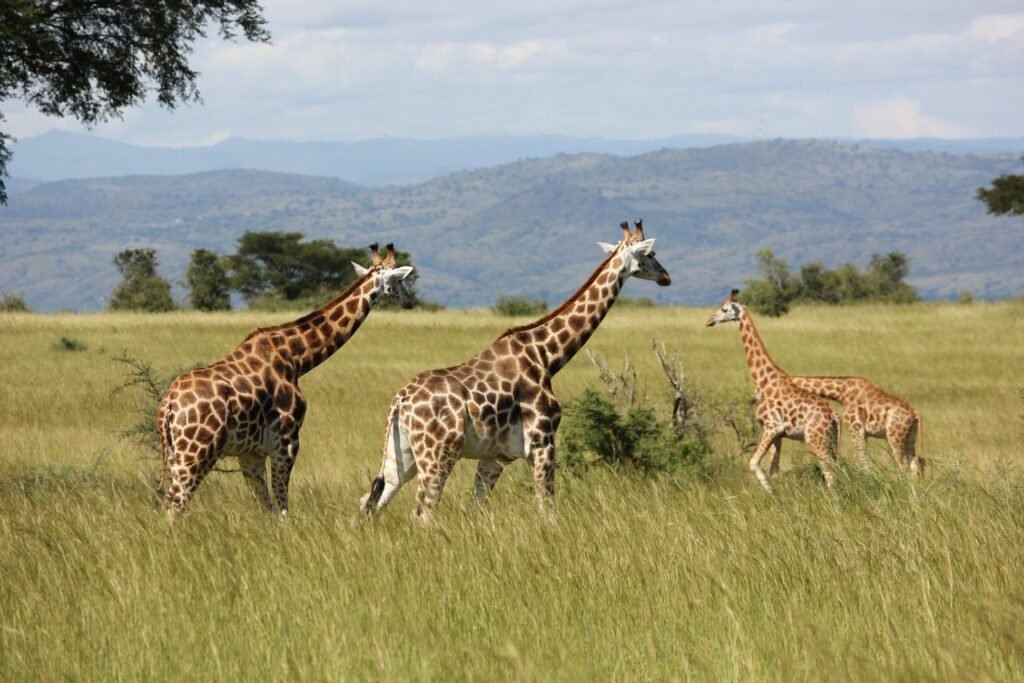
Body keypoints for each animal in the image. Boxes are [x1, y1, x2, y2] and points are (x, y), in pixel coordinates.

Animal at [157, 243, 415, 519]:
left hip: (177, 454)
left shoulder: (252, 453)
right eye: (399, 280)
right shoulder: (287, 441)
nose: (410, 301)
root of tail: (168, 406)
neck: (296, 358)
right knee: (176, 504)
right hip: (196, 452)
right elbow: (282, 506)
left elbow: (267, 507)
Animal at [359, 220, 671, 519]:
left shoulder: (495, 456)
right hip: (437, 454)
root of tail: (400, 401)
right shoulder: (543, 443)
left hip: (402, 454)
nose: (666, 277)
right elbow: (547, 507)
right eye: (651, 254)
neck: (547, 356)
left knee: (370, 501)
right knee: (422, 511)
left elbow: (475, 510)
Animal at [706, 289, 841, 491]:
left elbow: (753, 462)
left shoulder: (771, 426)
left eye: (724, 309)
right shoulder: (778, 434)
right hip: (831, 441)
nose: (710, 320)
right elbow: (774, 470)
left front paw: (770, 492)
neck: (764, 382)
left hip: (816, 439)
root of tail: (834, 416)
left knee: (830, 473)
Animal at [788, 375, 924, 474]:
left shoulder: (855, 427)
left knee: (903, 465)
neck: (842, 393)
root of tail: (915, 414)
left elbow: (862, 458)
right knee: (915, 466)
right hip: (910, 438)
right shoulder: (864, 433)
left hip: (895, 437)